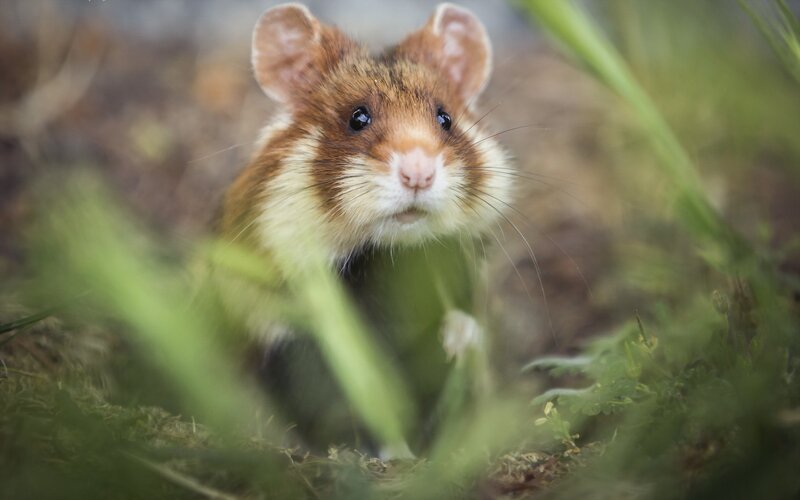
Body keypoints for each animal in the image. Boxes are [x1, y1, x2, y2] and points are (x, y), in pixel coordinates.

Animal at [217, 3, 514, 453]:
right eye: (357, 118)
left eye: (445, 118)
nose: (418, 173)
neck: (392, 261)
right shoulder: (296, 347)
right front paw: (397, 456)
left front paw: (457, 336)